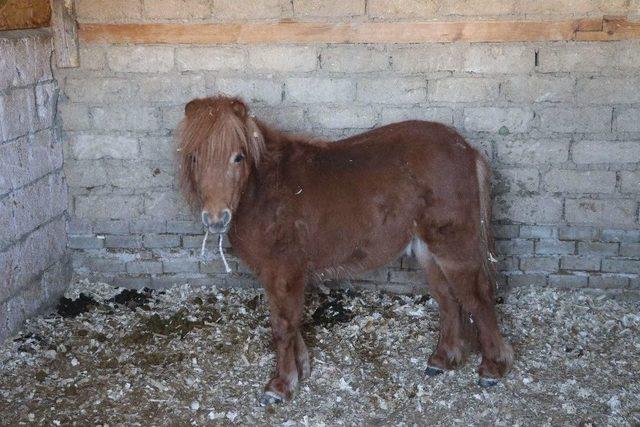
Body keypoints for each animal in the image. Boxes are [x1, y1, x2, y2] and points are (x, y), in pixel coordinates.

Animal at [178, 95, 512, 406]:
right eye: (193, 157)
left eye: (238, 157)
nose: (216, 219)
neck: (264, 192)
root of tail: (466, 149)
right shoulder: (281, 275)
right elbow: (290, 320)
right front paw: (300, 370)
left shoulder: (283, 271)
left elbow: (282, 325)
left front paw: (280, 386)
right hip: (427, 249)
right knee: (447, 298)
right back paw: (442, 360)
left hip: (453, 247)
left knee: (478, 298)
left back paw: (493, 368)